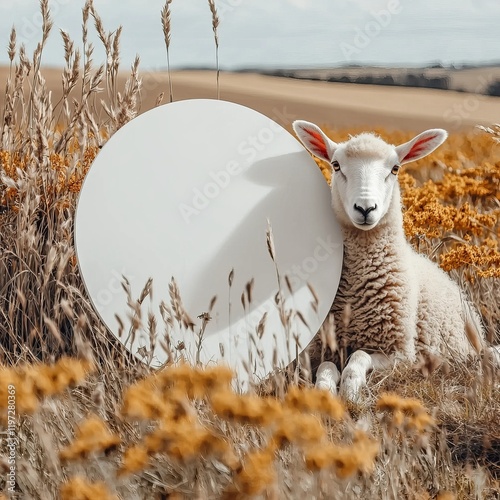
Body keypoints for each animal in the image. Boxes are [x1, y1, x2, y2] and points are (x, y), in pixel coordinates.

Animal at [292, 121, 492, 402]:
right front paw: (325, 390)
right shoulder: (316, 350)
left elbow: (358, 357)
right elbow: (327, 367)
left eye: (395, 168)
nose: (365, 208)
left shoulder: (402, 354)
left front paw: (350, 390)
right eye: (336, 165)